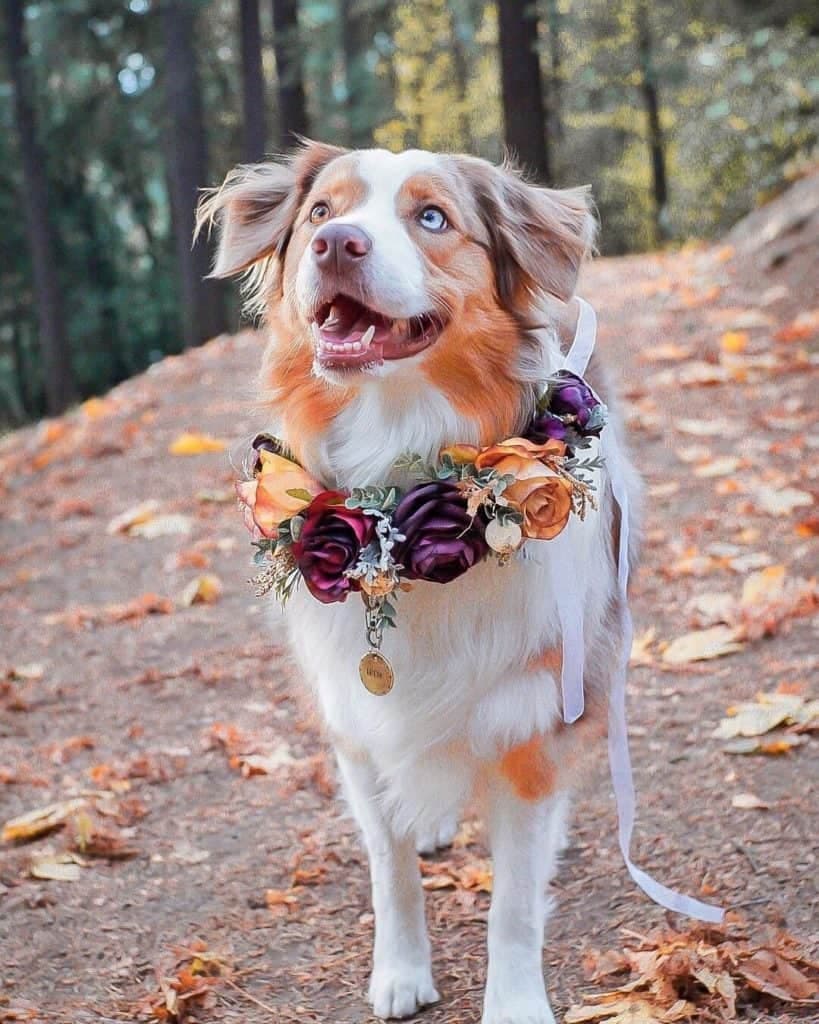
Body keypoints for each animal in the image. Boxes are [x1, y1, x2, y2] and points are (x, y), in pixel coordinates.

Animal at [198, 144, 638, 1024]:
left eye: (431, 217)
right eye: (321, 212)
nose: (336, 245)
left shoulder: (527, 709)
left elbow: (511, 905)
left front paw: (513, 1002)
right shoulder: (355, 720)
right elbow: (389, 867)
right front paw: (400, 971)